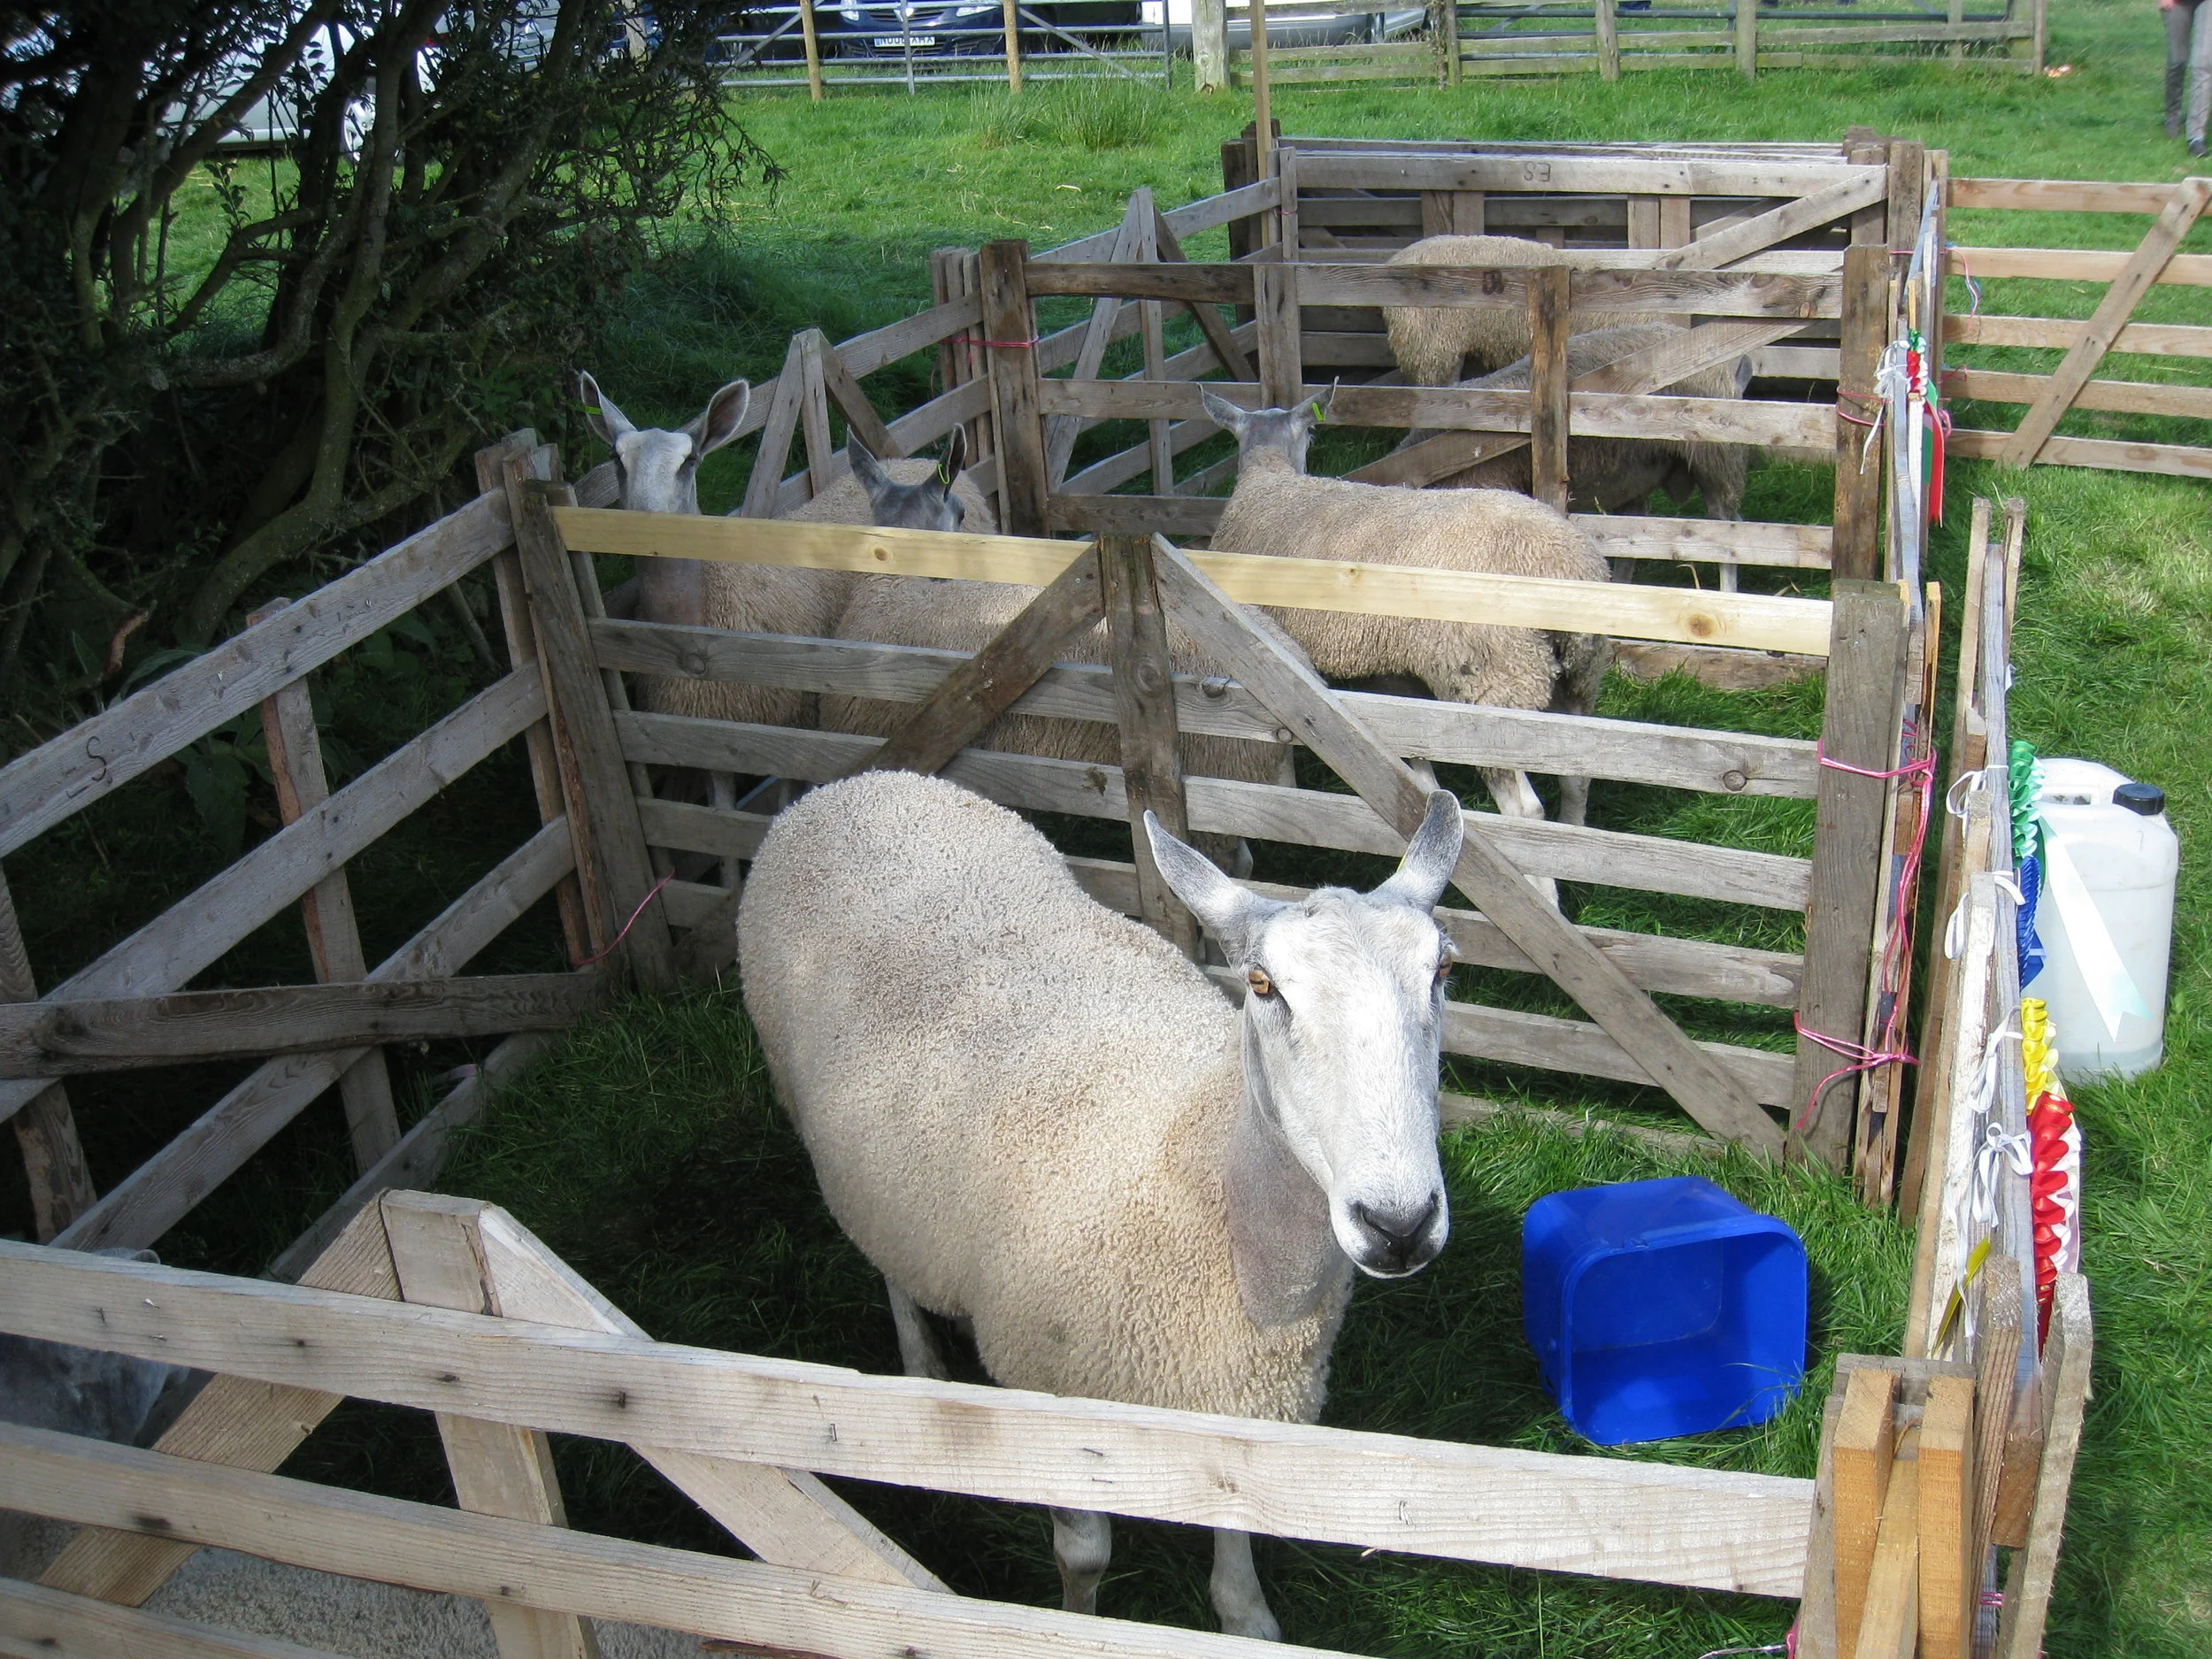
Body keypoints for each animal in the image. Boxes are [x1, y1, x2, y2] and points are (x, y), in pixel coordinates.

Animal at [738, 769, 1466, 1641]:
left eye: (1442, 972)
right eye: (1263, 986)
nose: (1399, 1224)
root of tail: (858, 783)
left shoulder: (1235, 1402)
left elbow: (1237, 1564)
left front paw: (1246, 1613)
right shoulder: (1055, 1397)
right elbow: (1084, 1558)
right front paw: (1077, 1620)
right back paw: (920, 1359)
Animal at [1198, 384, 1612, 837]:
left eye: (1310, 434)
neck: (1270, 479)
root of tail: (1560, 564)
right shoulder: (1391, 666)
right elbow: (1413, 758)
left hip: (1490, 687)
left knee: (1525, 810)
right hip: (1579, 677)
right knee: (1578, 777)